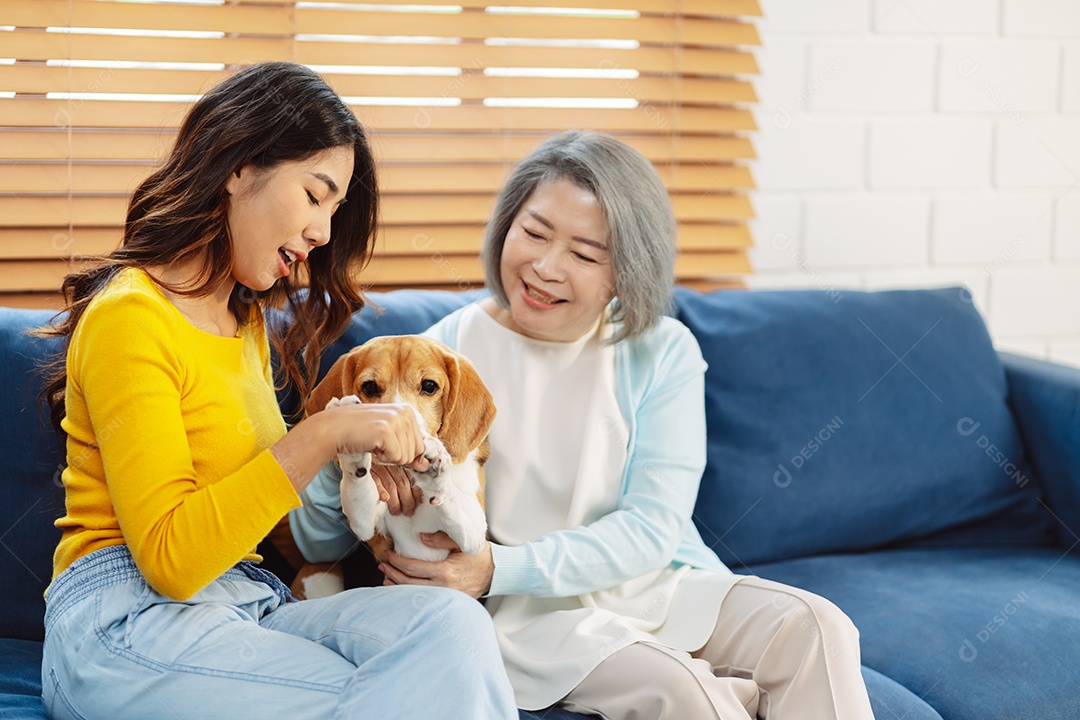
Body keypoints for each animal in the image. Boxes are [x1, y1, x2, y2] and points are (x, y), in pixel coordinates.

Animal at [304, 336, 496, 569]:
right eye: (370, 387)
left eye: (429, 386)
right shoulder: (366, 524)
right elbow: (359, 486)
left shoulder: (474, 535)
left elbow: (453, 499)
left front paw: (433, 468)